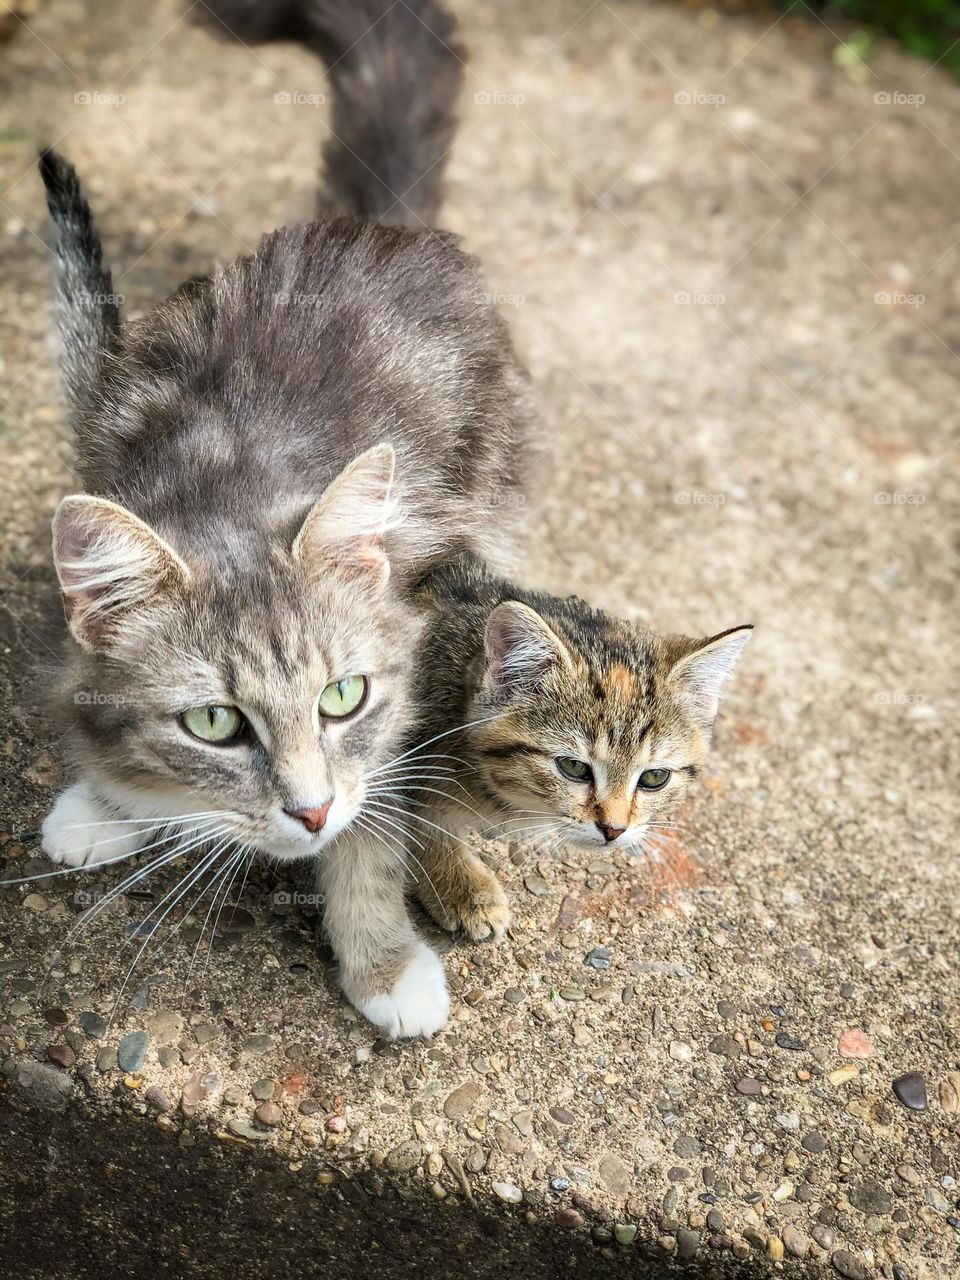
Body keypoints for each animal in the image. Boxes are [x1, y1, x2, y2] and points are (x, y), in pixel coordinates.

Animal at [41, 0, 537, 1039]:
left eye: (341, 697)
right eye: (215, 723)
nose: (305, 814)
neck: (233, 481)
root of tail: (377, 226)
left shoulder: (408, 654)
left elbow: (376, 817)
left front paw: (384, 960)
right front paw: (109, 802)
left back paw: (458, 878)